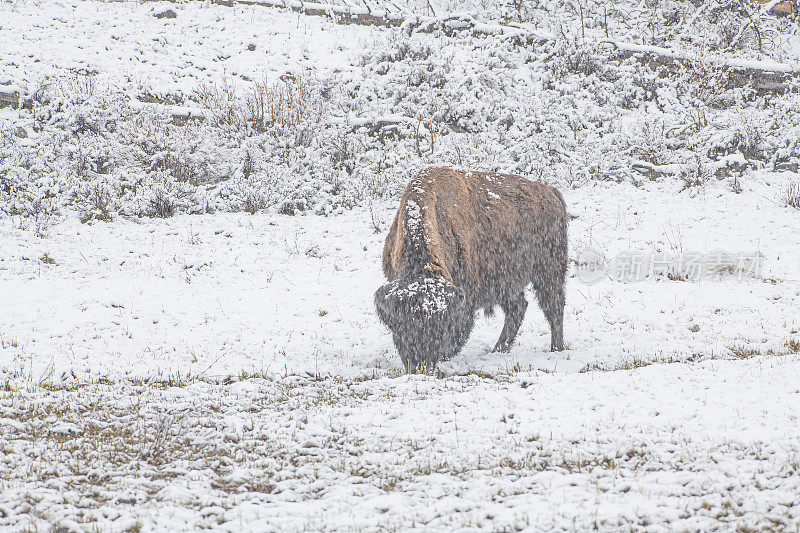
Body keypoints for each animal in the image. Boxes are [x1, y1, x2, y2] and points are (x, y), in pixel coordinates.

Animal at [376, 165, 568, 370]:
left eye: (442, 327)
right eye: (400, 326)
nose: (421, 364)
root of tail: (552, 193)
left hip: (549, 270)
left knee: (554, 308)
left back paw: (556, 349)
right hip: (507, 282)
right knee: (518, 308)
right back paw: (498, 350)